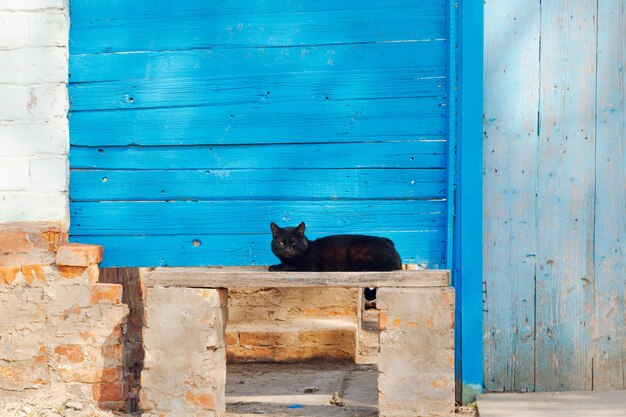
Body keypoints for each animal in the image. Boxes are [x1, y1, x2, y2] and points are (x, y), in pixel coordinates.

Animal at [268, 221, 400, 272]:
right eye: (281, 242)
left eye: (294, 242)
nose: (287, 249)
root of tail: (389, 243)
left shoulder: (309, 266)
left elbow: (289, 266)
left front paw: (274, 267)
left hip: (356, 250)